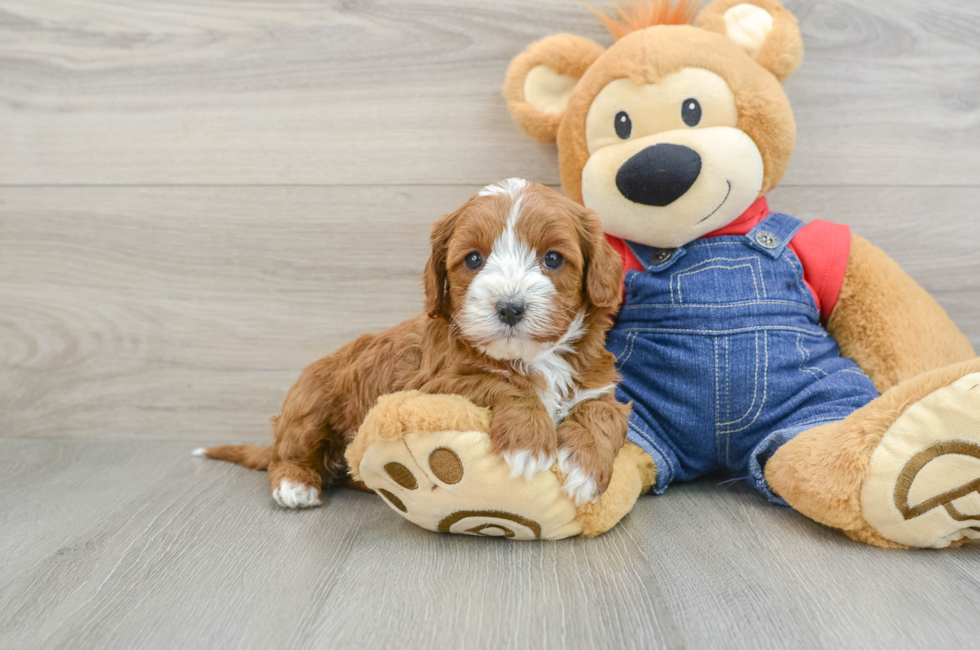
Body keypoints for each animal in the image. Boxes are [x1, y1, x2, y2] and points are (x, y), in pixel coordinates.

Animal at [198, 178, 628, 506]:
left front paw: (585, 468)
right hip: (309, 403)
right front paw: (528, 443)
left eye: (553, 259)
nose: (509, 307)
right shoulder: (433, 382)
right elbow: (500, 381)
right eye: (473, 260)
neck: (533, 358)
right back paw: (295, 484)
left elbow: (602, 413)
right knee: (288, 452)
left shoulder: (597, 385)